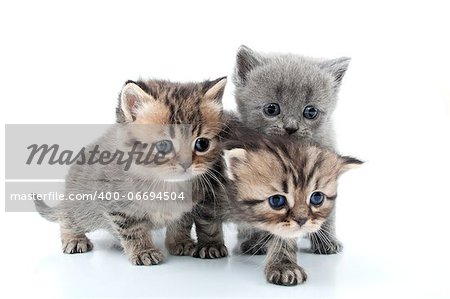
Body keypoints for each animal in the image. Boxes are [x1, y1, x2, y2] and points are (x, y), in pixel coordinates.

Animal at [33, 76, 227, 266]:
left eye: (202, 144)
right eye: (164, 145)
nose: (186, 164)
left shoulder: (189, 205)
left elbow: (181, 223)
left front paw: (179, 242)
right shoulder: (119, 205)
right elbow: (133, 229)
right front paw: (143, 251)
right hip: (84, 207)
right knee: (67, 216)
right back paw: (73, 238)